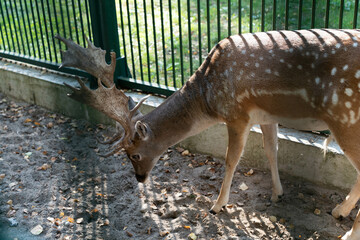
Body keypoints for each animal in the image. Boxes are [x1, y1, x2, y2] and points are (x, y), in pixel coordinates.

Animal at [57, 28, 360, 240]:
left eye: (134, 154)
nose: (140, 178)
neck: (207, 97)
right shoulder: (266, 115)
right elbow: (271, 150)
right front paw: (277, 194)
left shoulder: (237, 114)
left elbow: (231, 159)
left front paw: (217, 205)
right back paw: (338, 211)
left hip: (346, 118)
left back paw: (348, 230)